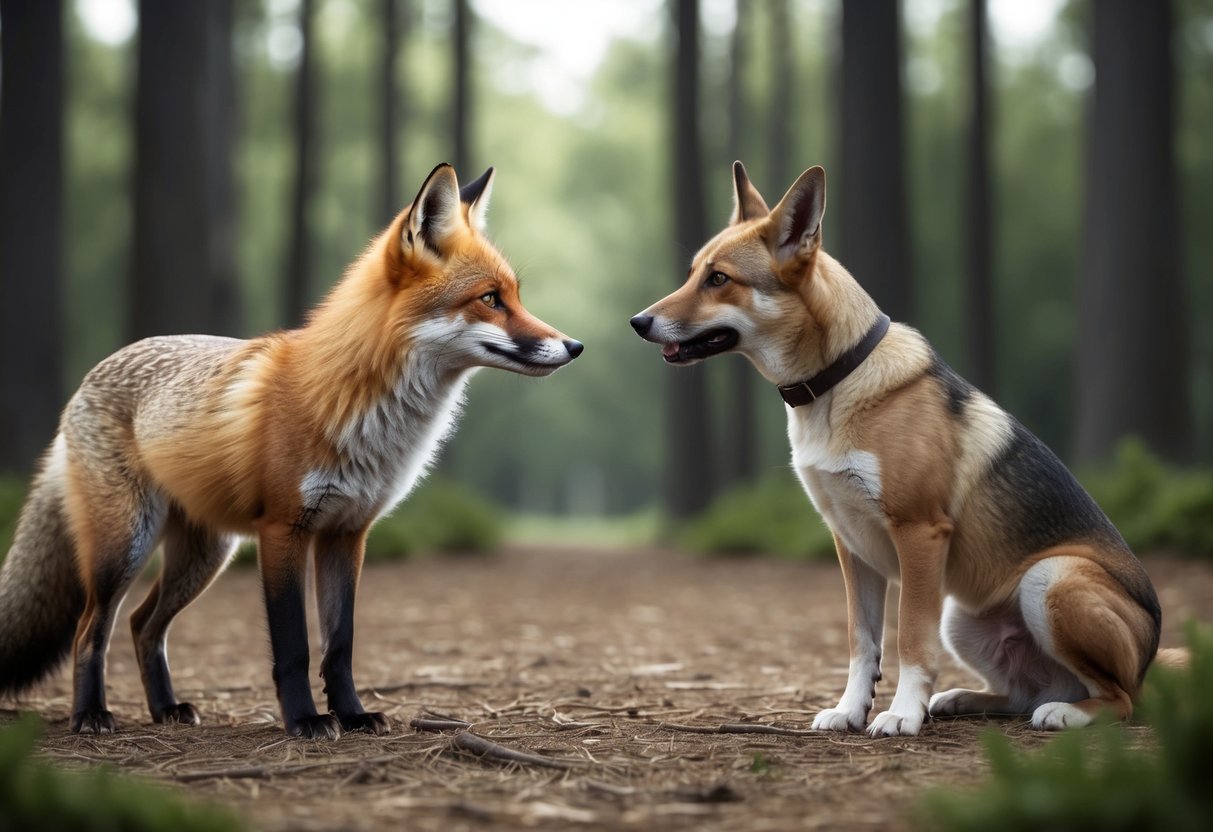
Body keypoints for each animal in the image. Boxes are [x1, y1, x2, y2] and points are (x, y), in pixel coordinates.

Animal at [0, 166, 582, 742]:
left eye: (516, 296)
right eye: (490, 299)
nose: (574, 346)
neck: (362, 406)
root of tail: (90, 377)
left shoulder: (348, 533)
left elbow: (340, 645)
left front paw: (352, 715)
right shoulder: (283, 529)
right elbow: (294, 646)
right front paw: (304, 720)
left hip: (205, 556)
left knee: (144, 625)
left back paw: (166, 709)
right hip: (125, 546)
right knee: (89, 630)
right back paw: (90, 715)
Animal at [630, 161, 1169, 737]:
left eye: (719, 279)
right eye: (692, 272)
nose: (638, 322)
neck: (837, 380)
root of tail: (1151, 661)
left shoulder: (919, 534)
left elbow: (909, 639)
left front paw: (902, 714)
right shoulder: (849, 544)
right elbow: (861, 642)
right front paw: (850, 709)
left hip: (1048, 580)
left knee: (1116, 699)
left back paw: (1065, 714)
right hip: (963, 617)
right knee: (1028, 691)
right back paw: (962, 700)